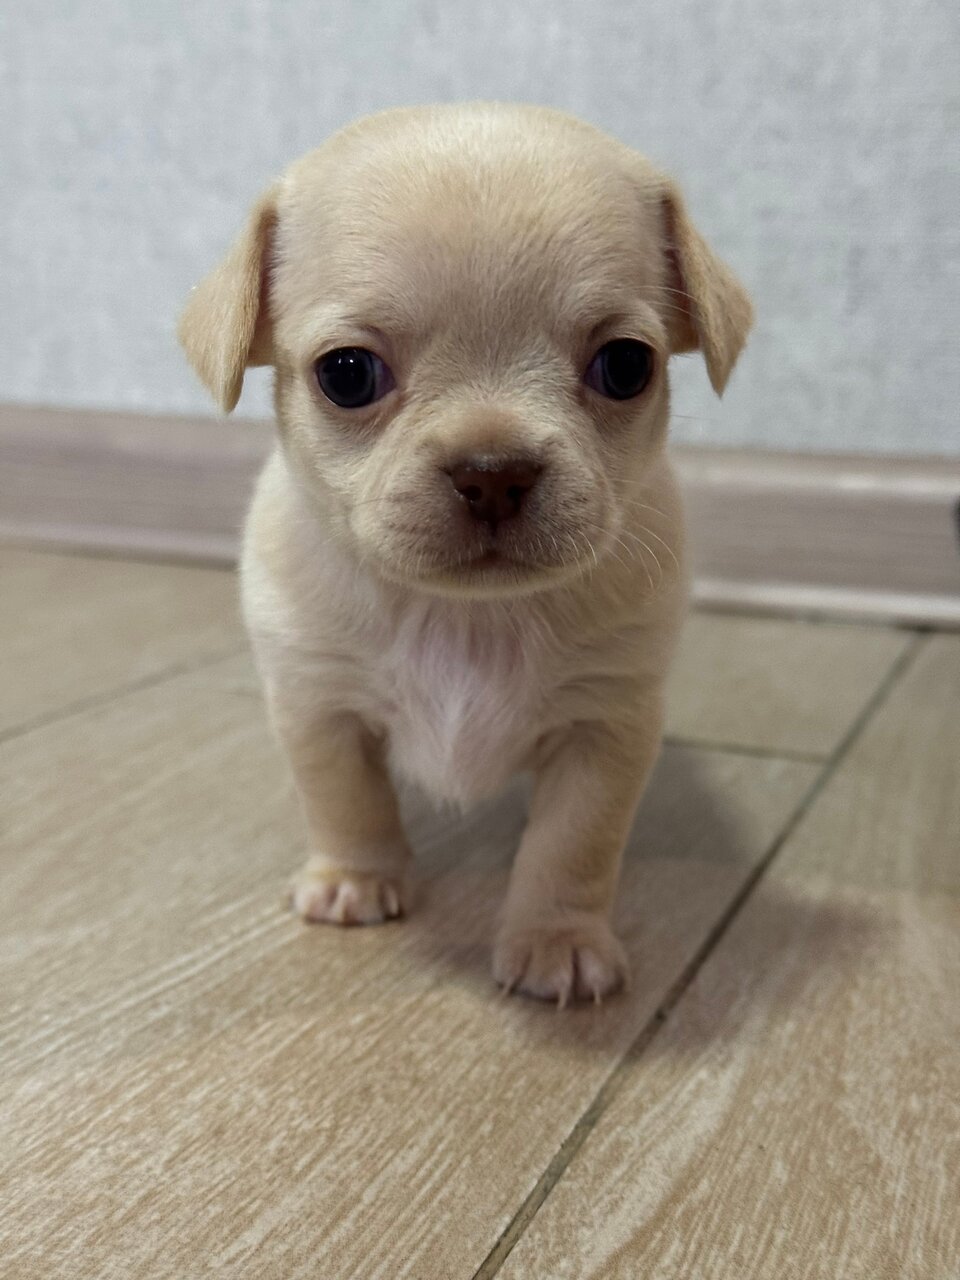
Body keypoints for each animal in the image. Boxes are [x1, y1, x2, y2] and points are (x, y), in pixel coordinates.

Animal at [179, 103, 752, 1004]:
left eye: (627, 365)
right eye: (347, 375)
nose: (493, 471)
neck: (465, 618)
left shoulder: (605, 731)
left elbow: (572, 845)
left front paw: (556, 939)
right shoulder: (319, 710)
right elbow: (347, 802)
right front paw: (355, 877)